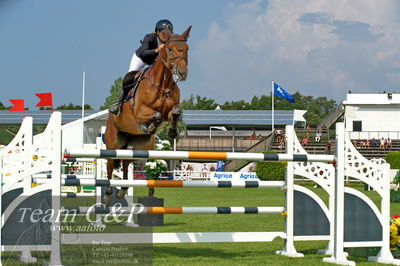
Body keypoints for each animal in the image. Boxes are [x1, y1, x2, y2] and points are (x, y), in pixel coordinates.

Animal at [102, 26, 191, 205]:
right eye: (169, 49)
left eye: (187, 48)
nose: (182, 73)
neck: (162, 84)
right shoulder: (139, 111)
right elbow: (156, 115)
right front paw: (149, 126)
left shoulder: (169, 112)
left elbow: (175, 112)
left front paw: (172, 131)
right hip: (113, 141)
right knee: (110, 163)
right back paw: (108, 193)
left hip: (139, 146)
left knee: (126, 161)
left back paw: (122, 190)